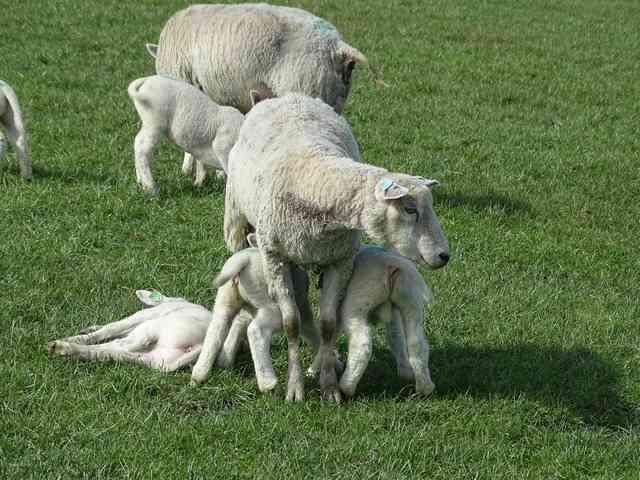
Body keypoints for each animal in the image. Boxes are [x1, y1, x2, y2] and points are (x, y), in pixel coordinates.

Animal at [48, 288, 212, 372]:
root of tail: (200, 346)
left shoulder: (144, 316)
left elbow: (110, 328)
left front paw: (81, 336)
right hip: (155, 359)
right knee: (111, 353)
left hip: (152, 328)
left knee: (116, 345)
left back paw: (62, 345)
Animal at [225, 93, 450, 402]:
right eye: (410, 209)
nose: (444, 255)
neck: (314, 177)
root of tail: (287, 96)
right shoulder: (275, 257)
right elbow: (291, 322)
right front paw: (295, 387)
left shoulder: (341, 261)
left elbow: (329, 324)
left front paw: (330, 385)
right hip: (238, 221)